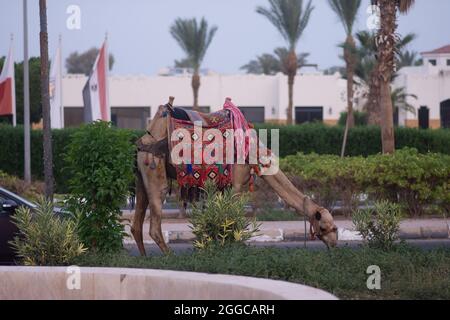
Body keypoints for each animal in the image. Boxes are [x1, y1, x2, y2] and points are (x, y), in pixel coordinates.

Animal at [130, 96, 338, 254]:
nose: (335, 243)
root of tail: (144, 140)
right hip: (154, 168)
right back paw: (170, 259)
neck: (255, 152)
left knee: (136, 225)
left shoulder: (223, 187)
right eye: (324, 226)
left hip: (142, 177)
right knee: (154, 224)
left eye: (334, 227)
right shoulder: (237, 184)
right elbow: (233, 221)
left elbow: (222, 217)